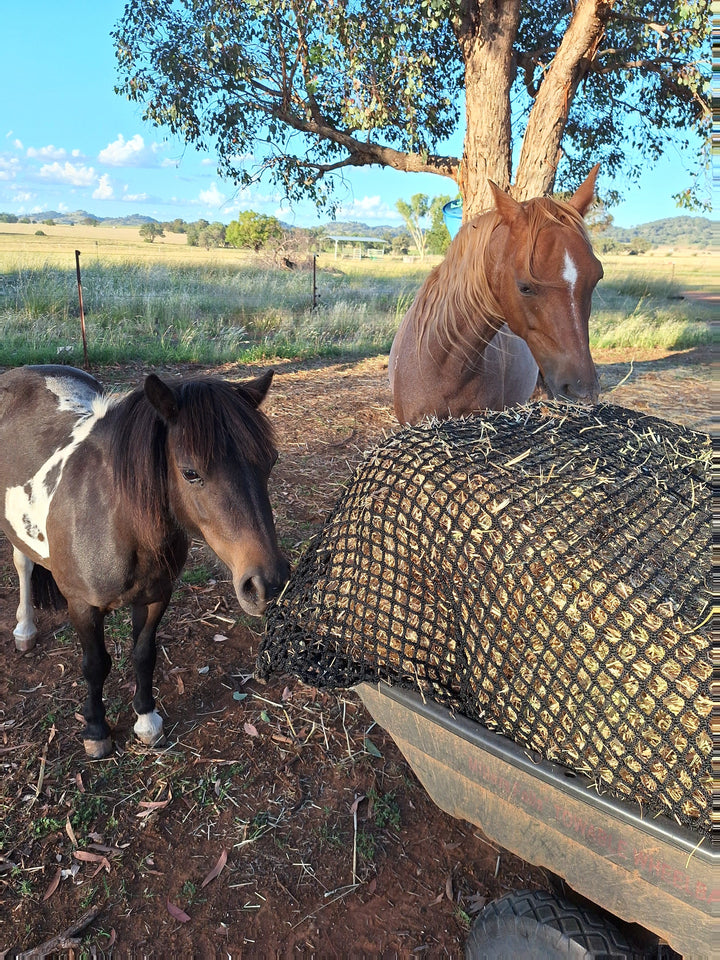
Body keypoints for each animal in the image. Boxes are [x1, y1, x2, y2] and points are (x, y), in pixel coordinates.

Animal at [0, 364, 289, 759]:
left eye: (270, 462)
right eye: (190, 472)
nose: (267, 583)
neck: (112, 518)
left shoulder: (156, 597)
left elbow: (143, 654)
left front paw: (147, 720)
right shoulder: (81, 605)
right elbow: (95, 665)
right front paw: (96, 730)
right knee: (23, 564)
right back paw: (25, 630)